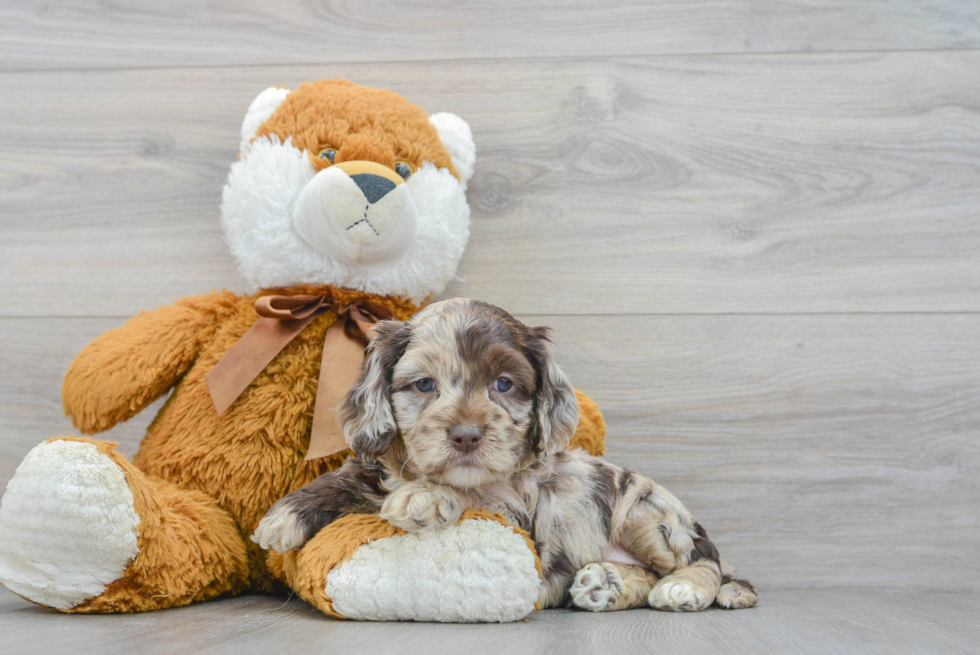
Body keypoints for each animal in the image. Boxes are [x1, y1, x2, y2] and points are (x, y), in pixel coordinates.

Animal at [253, 300, 756, 612]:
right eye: (424, 384)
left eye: (504, 384)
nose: (466, 435)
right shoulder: (373, 470)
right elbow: (344, 478)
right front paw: (282, 517)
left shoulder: (516, 510)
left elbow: (470, 495)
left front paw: (426, 497)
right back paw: (604, 586)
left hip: (646, 513)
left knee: (706, 562)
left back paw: (683, 587)